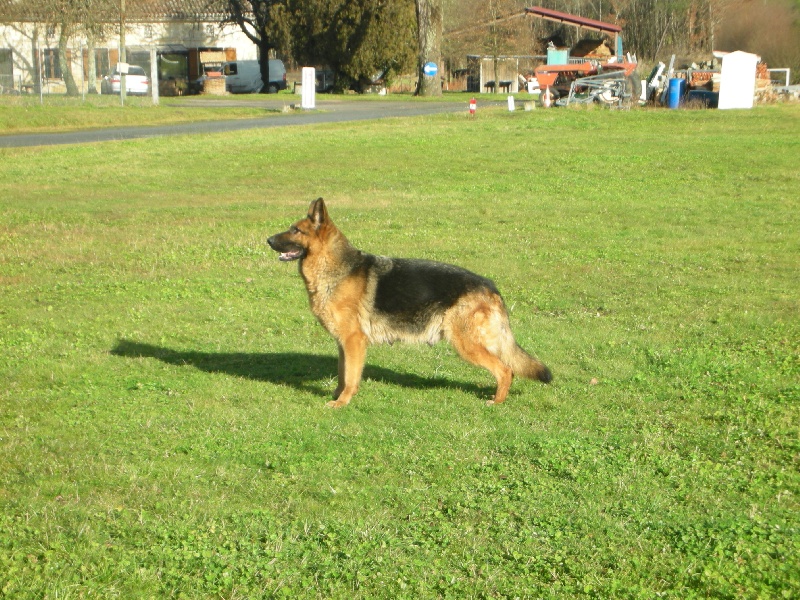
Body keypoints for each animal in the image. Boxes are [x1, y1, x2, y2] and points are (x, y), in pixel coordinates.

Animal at [268, 198, 552, 408]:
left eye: (295, 230)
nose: (268, 240)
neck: (336, 268)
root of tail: (490, 286)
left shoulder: (354, 341)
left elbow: (350, 378)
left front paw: (342, 402)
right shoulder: (344, 344)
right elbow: (342, 374)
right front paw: (337, 397)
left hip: (466, 344)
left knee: (505, 370)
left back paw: (497, 402)